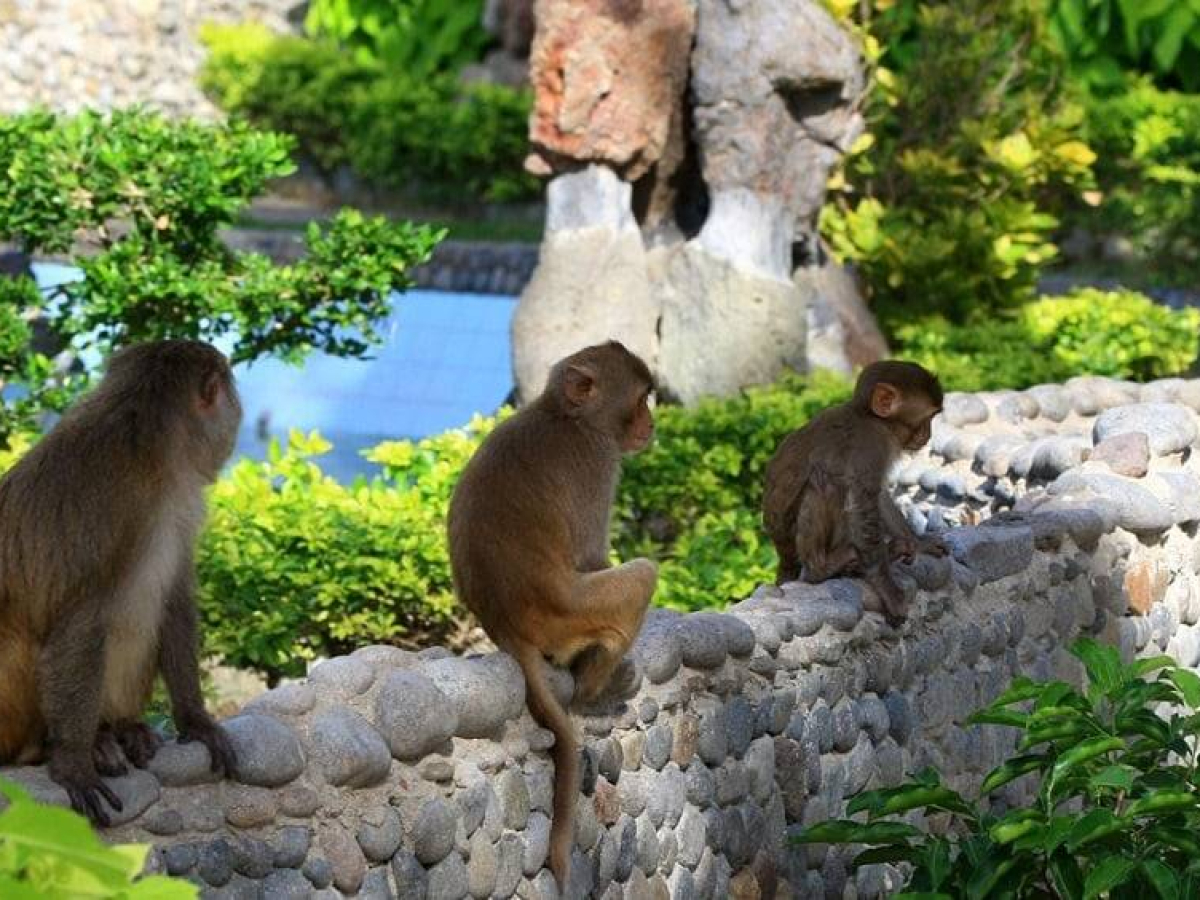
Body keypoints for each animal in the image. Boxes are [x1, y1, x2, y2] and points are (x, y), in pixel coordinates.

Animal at [0, 339, 241, 825]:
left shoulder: (177, 509)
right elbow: (79, 620)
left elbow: (175, 599)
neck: (149, 442)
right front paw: (73, 762)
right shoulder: (115, 511)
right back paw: (78, 743)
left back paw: (122, 727)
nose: (237, 410)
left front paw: (195, 718)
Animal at [448, 341, 658, 890]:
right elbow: (591, 556)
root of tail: (505, 626)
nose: (651, 424)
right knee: (640, 576)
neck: (565, 416)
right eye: (640, 399)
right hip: (570, 614)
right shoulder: (598, 461)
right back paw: (594, 689)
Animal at [762, 360, 947, 625]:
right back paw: (824, 567)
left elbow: (879, 495)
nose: (928, 435)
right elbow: (862, 503)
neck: (870, 417)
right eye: (928, 417)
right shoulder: (869, 446)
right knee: (825, 482)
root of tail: (783, 555)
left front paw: (918, 542)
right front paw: (888, 588)